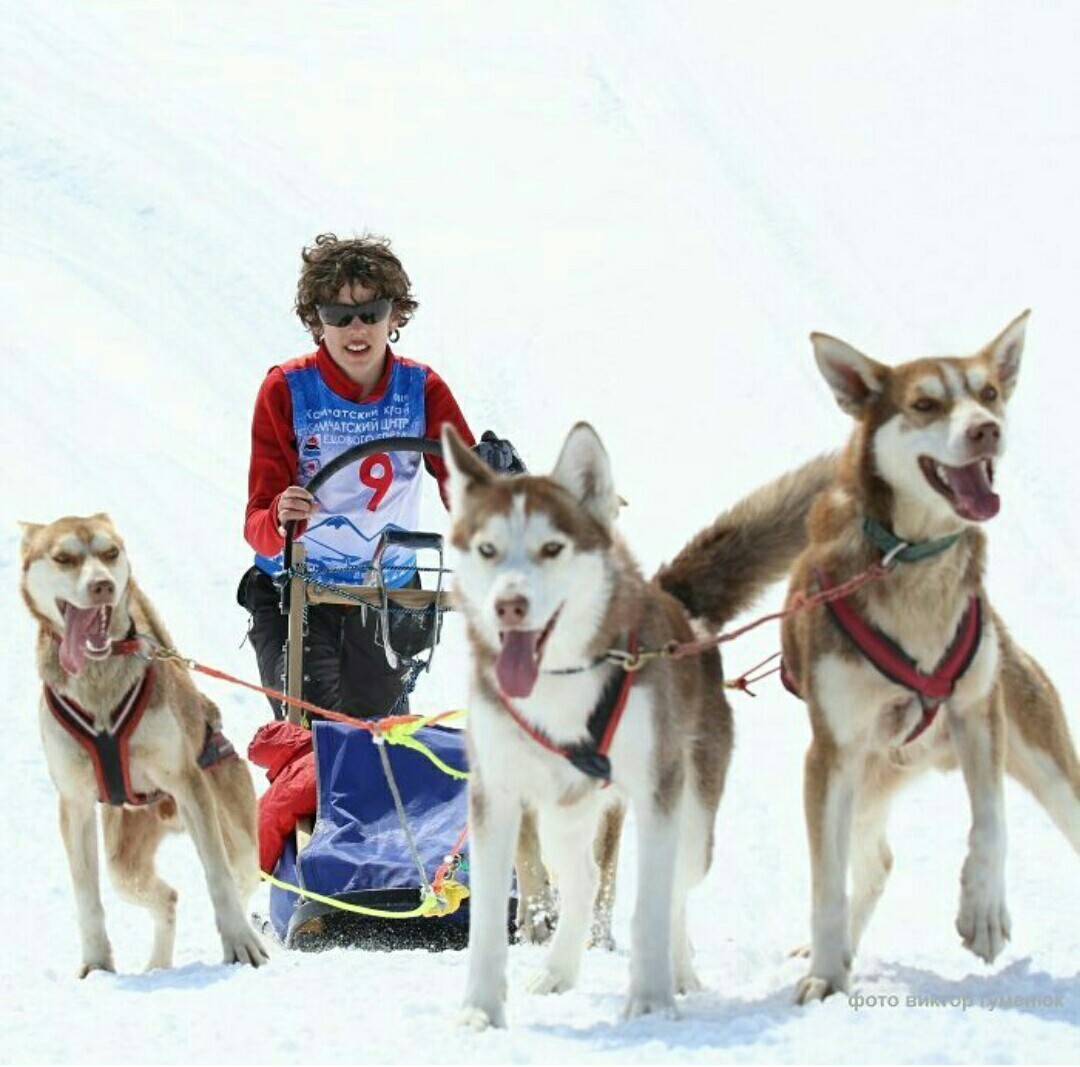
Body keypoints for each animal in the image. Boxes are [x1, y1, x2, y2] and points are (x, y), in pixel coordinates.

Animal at [19, 514, 266, 976]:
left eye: (110, 552)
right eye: (64, 558)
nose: (102, 585)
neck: (98, 682)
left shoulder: (188, 784)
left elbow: (218, 876)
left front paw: (240, 943)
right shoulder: (75, 803)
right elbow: (86, 894)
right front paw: (96, 964)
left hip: (237, 835)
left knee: (239, 877)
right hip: (124, 862)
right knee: (166, 896)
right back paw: (158, 964)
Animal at [442, 419, 829, 1023]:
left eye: (551, 548)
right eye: (488, 549)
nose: (509, 605)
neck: (560, 681)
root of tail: (676, 603)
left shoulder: (656, 793)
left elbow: (650, 908)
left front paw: (649, 1003)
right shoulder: (497, 795)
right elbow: (486, 924)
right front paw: (479, 1012)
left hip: (691, 822)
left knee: (674, 895)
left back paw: (680, 974)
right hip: (561, 815)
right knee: (583, 878)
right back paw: (558, 971)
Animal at [781, 311, 1080, 1002]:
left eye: (989, 393)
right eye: (924, 404)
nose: (986, 429)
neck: (911, 558)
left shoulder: (978, 714)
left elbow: (990, 824)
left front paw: (984, 911)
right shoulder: (830, 756)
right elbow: (826, 884)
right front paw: (826, 974)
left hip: (1044, 760)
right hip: (859, 783)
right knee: (869, 864)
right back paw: (837, 950)